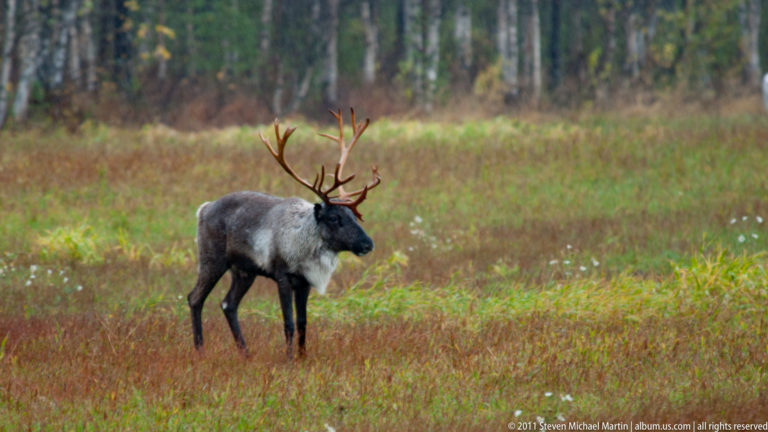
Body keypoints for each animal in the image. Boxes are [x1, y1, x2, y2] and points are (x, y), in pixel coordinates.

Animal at [187, 108, 381, 358]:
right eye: (334, 218)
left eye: (354, 216)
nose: (368, 244)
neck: (304, 247)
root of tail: (204, 208)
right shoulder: (282, 276)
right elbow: (288, 322)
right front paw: (289, 359)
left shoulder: (304, 282)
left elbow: (303, 322)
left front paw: (303, 357)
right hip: (212, 259)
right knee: (195, 298)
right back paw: (200, 350)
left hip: (244, 271)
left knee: (228, 304)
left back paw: (245, 353)